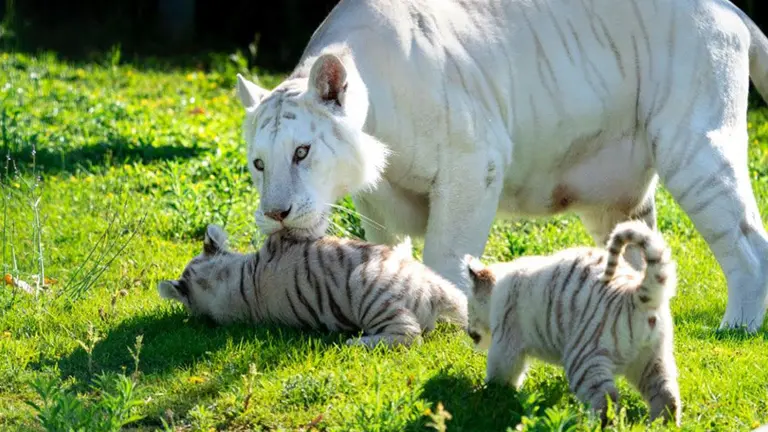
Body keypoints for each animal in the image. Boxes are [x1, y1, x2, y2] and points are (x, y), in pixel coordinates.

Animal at [234, 0, 768, 333]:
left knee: (749, 245)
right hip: (616, 203)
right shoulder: (377, 200)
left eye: (302, 152)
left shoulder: (472, 165)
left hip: (694, 146)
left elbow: (444, 255)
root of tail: (730, 11)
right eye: (259, 164)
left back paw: (736, 326)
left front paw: (447, 316)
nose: (276, 214)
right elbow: (386, 252)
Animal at [462, 220, 680, 426]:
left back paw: (594, 425)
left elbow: (500, 373)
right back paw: (661, 425)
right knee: (667, 395)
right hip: (652, 359)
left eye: (469, 306)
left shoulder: (506, 341)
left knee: (606, 400)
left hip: (584, 360)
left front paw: (486, 392)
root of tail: (634, 294)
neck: (496, 291)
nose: (468, 331)